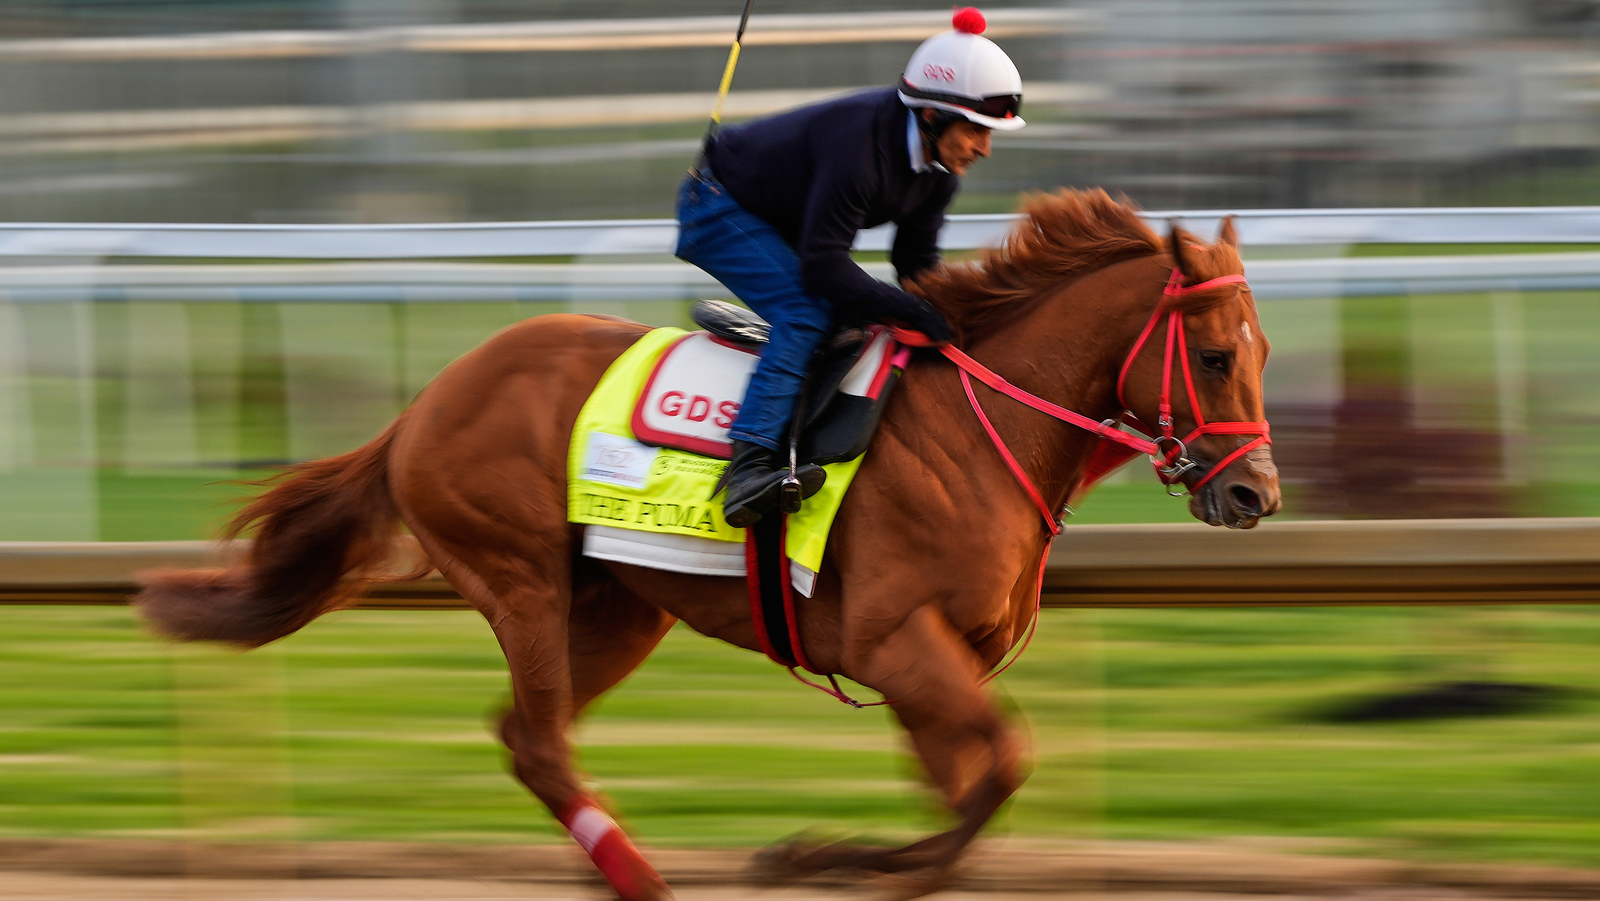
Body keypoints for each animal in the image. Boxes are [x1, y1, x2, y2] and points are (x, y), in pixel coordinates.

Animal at [136, 189, 1280, 901]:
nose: (1254, 493)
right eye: (1214, 355)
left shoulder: (937, 664)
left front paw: (840, 856)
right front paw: (817, 858)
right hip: (522, 578)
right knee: (541, 741)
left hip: (618, 607)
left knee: (525, 734)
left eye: (1261, 351)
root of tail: (426, 404)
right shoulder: (897, 643)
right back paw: (647, 879)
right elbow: (999, 769)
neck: (979, 428)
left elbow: (969, 790)